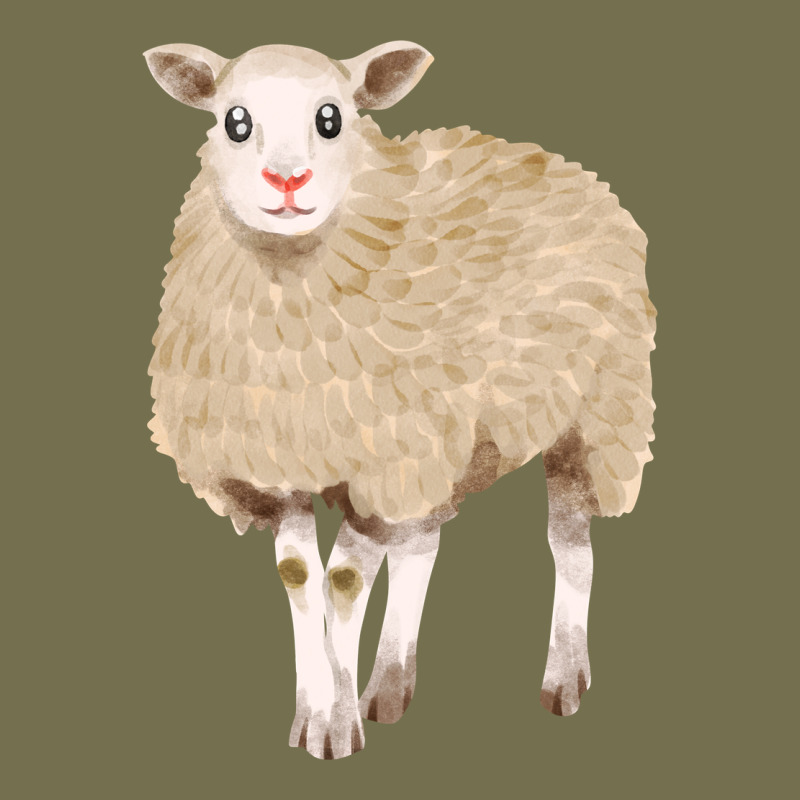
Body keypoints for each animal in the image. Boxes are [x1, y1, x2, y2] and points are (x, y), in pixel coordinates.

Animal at [144, 40, 656, 760]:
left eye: (332, 118)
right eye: (233, 122)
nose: (287, 182)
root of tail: (567, 167)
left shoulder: (385, 457)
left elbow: (343, 582)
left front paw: (334, 732)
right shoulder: (283, 463)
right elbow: (301, 578)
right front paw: (314, 715)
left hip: (595, 416)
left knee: (570, 548)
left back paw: (562, 679)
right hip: (452, 440)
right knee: (421, 549)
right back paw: (389, 685)